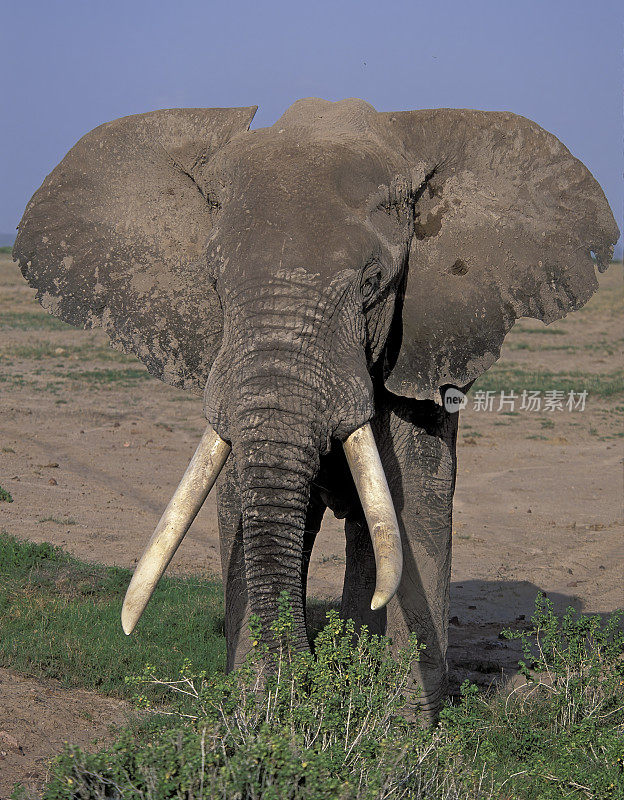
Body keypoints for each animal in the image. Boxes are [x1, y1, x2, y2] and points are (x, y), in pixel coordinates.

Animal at [15, 98, 620, 720]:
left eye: (373, 287)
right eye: (215, 285)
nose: (304, 682)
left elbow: (413, 499)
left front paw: (404, 728)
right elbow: (239, 498)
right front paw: (257, 711)